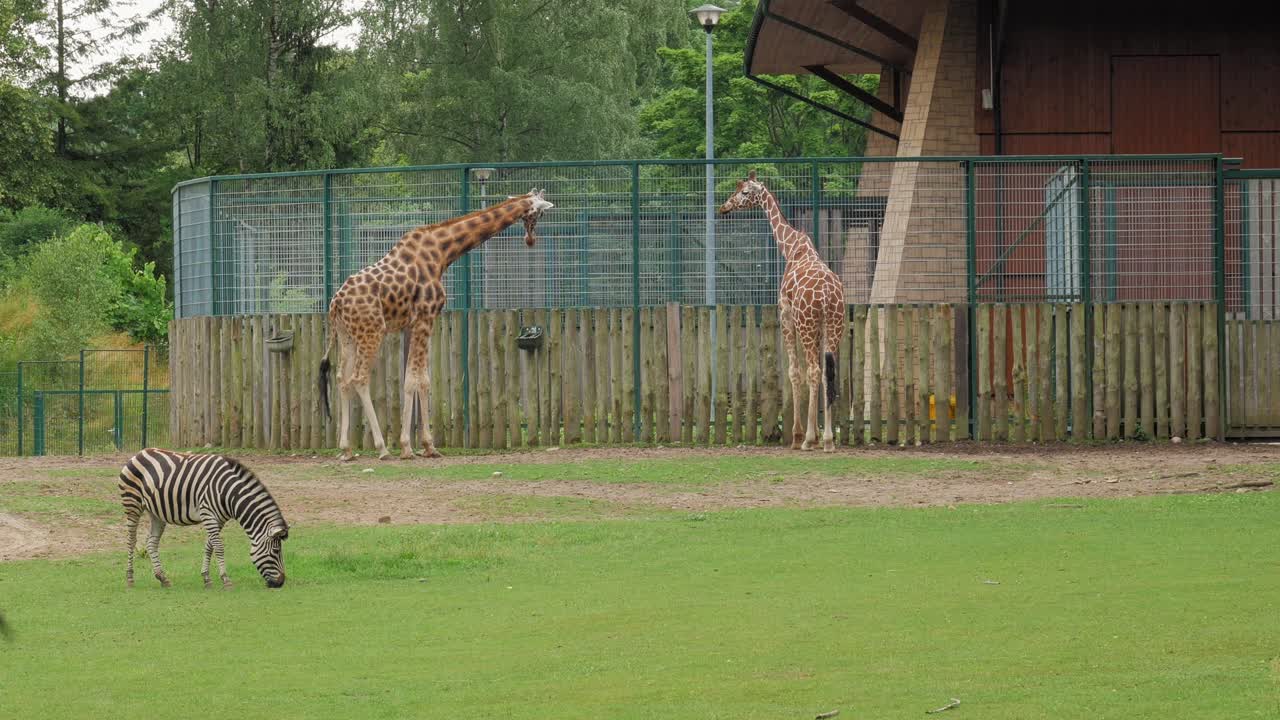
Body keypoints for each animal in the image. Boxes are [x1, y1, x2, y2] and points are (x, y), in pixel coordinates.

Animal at [118, 449, 290, 589]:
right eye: (276, 551)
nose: (281, 583)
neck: (229, 494)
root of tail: (139, 453)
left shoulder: (219, 519)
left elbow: (210, 546)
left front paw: (207, 578)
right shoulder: (208, 514)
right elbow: (219, 547)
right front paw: (226, 580)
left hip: (156, 513)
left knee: (151, 542)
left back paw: (162, 578)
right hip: (132, 505)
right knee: (131, 540)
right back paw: (130, 578)